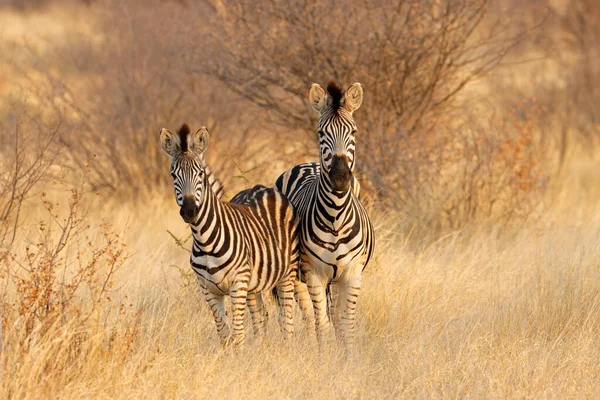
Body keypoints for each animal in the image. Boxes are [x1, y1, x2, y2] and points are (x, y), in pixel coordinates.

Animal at [161, 123, 298, 346]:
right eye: (173, 175)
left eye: (201, 174)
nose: (190, 211)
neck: (205, 240)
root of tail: (262, 188)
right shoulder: (208, 290)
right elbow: (224, 334)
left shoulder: (238, 284)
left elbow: (238, 333)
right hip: (254, 285)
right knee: (261, 318)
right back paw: (262, 348)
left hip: (287, 273)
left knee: (286, 319)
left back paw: (288, 349)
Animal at [274, 82, 372, 346]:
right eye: (321, 133)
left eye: (354, 132)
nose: (340, 178)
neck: (336, 216)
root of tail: (308, 163)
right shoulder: (314, 273)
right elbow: (322, 325)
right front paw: (324, 354)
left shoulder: (353, 273)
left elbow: (345, 327)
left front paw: (346, 354)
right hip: (298, 275)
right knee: (308, 317)